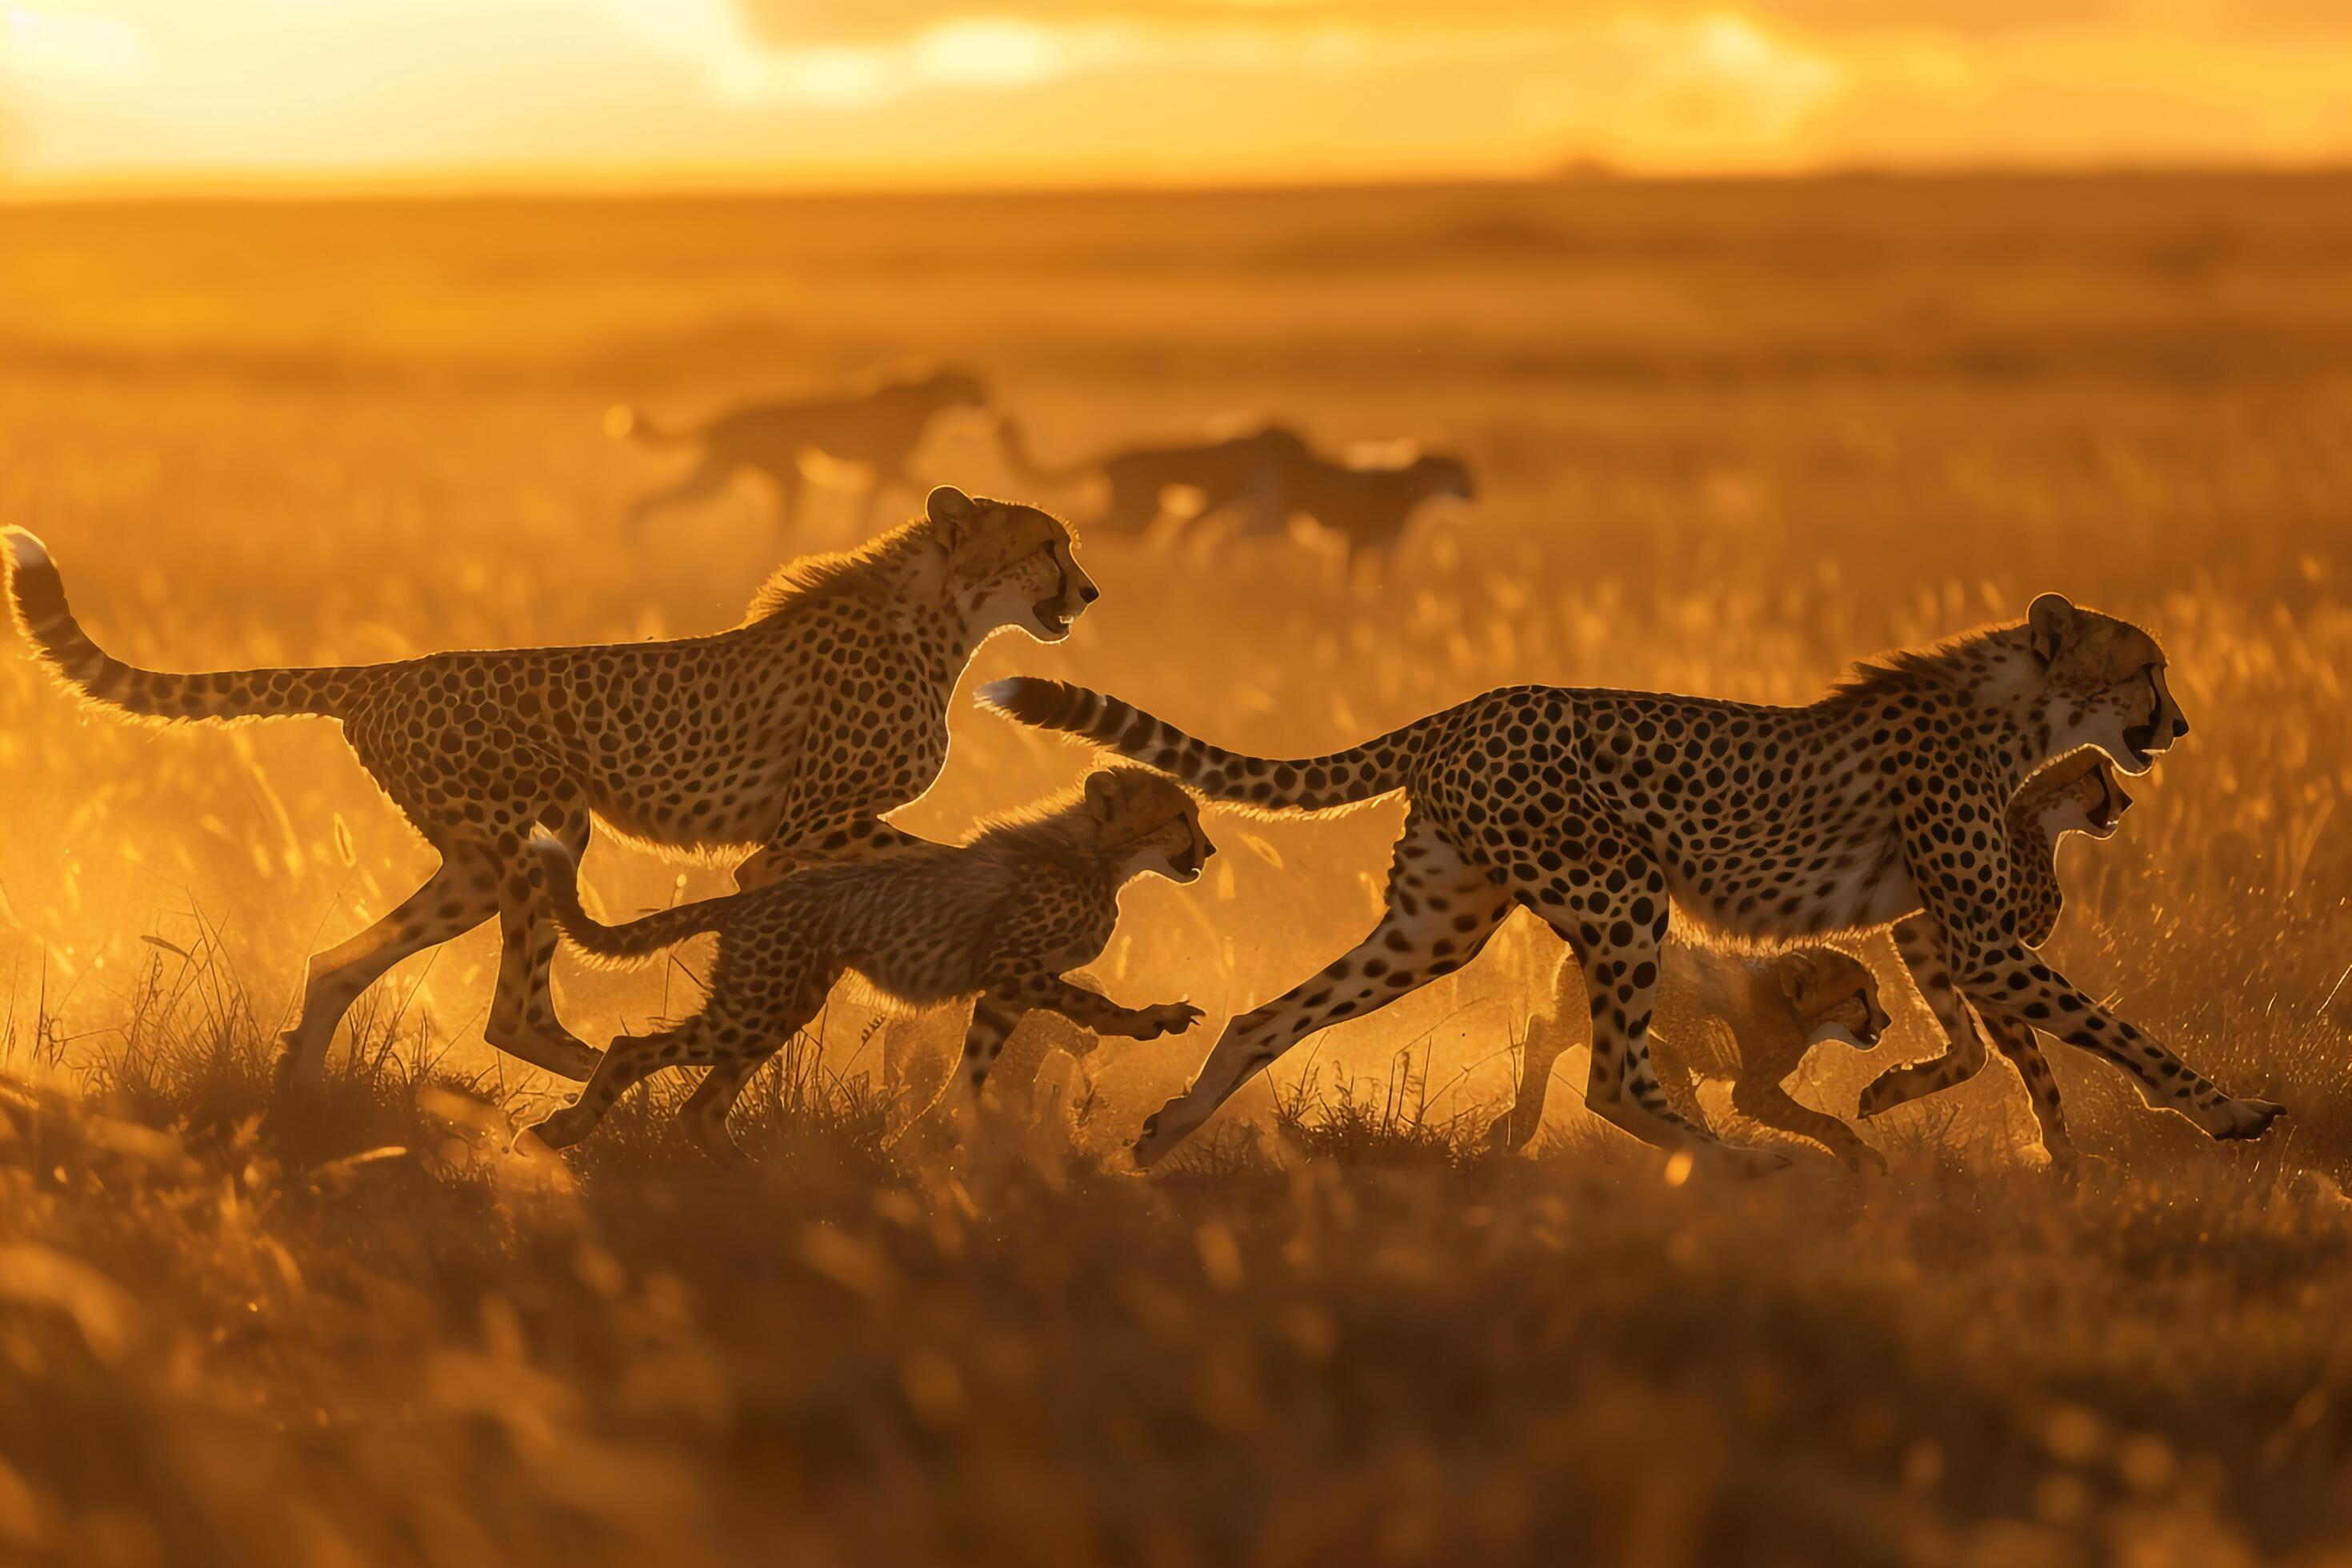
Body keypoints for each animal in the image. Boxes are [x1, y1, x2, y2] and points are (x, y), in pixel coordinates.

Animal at [987, 594, 2276, 1170]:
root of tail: (1471, 705)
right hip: (1619, 897)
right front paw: (2225, 1112)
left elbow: (1995, 1046)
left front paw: (1905, 1101)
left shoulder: (1942, 934)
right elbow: (2111, 1031)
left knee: (1267, 1015)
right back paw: (1737, 1160)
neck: (2018, 713)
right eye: (2145, 668)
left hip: (1438, 924)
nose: (2178, 723)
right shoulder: (1979, 933)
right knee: (1612, 1076)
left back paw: (1170, 1130)